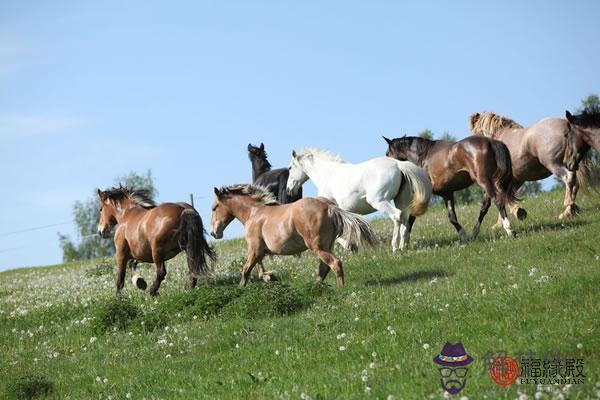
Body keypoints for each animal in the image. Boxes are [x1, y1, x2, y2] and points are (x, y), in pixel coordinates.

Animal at [209, 184, 372, 288]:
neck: (253, 213)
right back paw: (315, 288)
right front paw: (269, 277)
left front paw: (240, 289)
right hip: (327, 245)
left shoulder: (254, 249)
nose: (213, 233)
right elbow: (259, 269)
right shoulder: (260, 251)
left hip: (316, 246)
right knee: (324, 268)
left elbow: (246, 270)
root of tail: (328, 206)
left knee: (335, 264)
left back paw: (339, 290)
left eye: (214, 208)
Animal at [286, 148, 432, 252]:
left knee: (396, 216)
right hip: (401, 201)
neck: (327, 174)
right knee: (405, 221)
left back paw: (394, 247)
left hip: (379, 201)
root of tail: (398, 164)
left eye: (289, 168)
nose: (289, 190)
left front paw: (350, 246)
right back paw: (403, 247)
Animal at [384, 134, 520, 241]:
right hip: (489, 183)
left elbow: (412, 216)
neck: (422, 157)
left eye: (387, 153)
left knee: (497, 201)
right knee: (485, 206)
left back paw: (509, 229)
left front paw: (405, 240)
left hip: (484, 181)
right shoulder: (447, 193)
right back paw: (474, 233)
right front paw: (463, 236)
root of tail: (491, 142)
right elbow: (452, 217)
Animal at [468, 111, 600, 219]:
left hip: (554, 164)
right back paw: (568, 211)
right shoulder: (517, 179)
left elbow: (503, 197)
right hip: (570, 163)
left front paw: (517, 212)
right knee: (575, 184)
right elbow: (506, 197)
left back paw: (568, 206)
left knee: (569, 178)